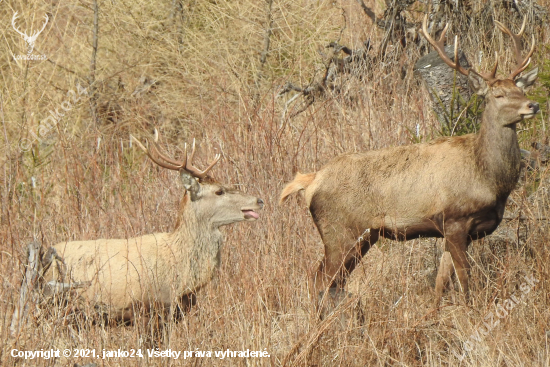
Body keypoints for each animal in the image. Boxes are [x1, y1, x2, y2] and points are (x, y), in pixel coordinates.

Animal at [282, 16, 540, 304]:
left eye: (520, 89)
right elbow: (465, 278)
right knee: (319, 279)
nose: (533, 105)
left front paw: (436, 310)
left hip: (364, 235)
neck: (489, 178)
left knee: (332, 280)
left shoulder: (454, 230)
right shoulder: (454, 219)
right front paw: (470, 309)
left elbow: (441, 282)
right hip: (339, 230)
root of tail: (311, 180)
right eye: (498, 95)